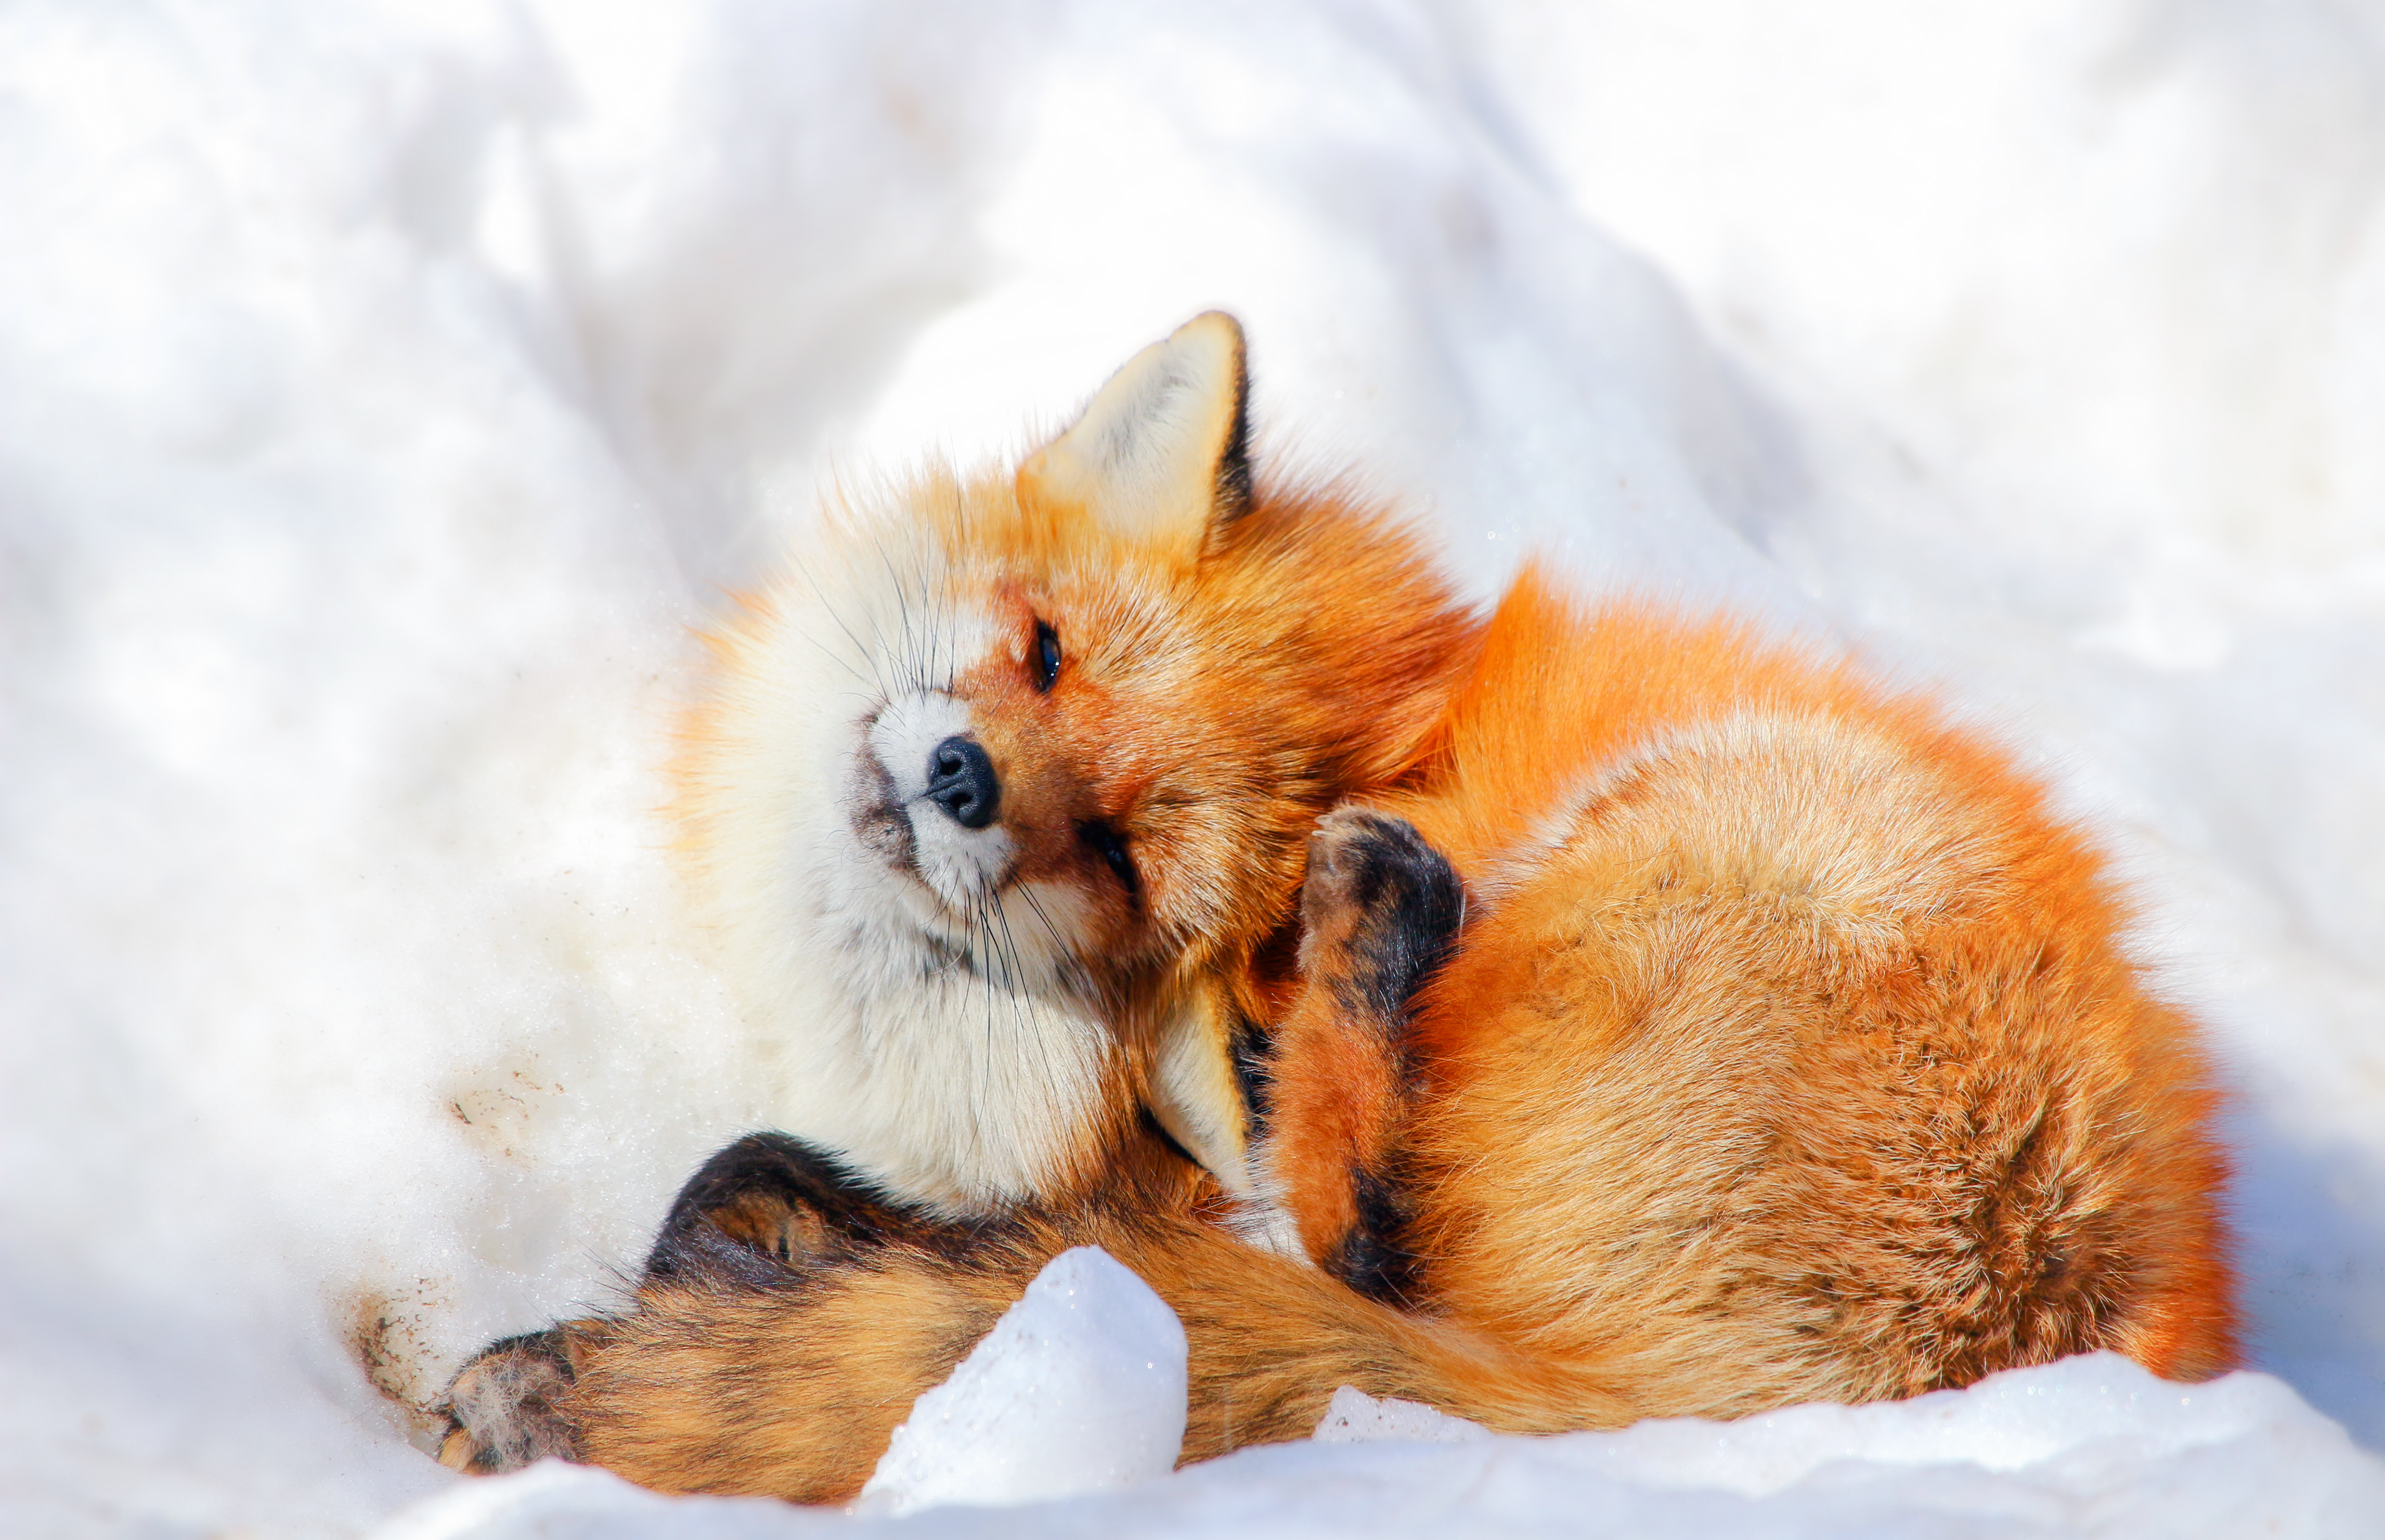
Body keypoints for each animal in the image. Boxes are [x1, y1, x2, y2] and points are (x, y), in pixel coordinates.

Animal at [434, 314, 2232, 1507]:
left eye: (1114, 852)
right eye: (1043, 653)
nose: (959, 778)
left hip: (1680, 842)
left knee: (1367, 1245)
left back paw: (1380, 928)